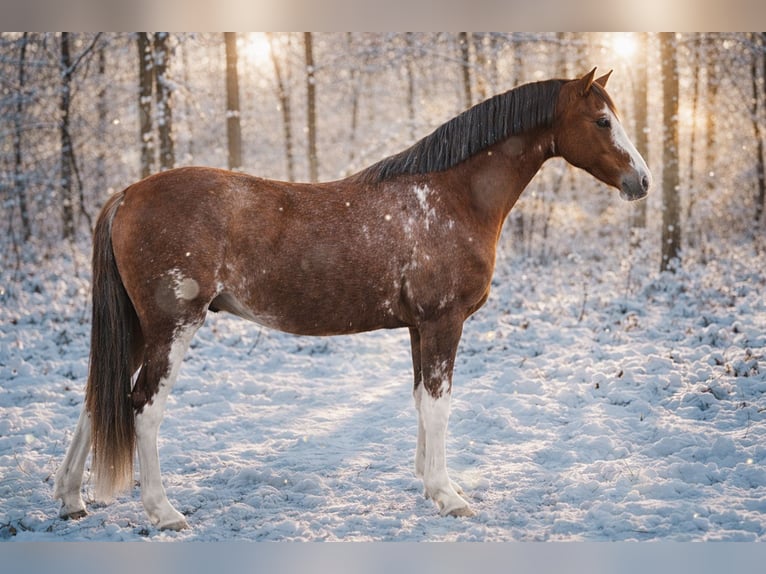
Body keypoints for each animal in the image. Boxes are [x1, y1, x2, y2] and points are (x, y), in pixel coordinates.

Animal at [54, 68, 651, 530]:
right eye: (602, 121)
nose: (642, 182)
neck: (452, 196)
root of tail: (128, 194)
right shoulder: (444, 323)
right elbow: (440, 406)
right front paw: (448, 496)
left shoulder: (418, 327)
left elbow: (421, 401)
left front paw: (430, 482)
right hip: (171, 327)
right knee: (143, 408)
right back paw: (163, 511)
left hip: (137, 329)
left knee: (97, 398)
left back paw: (70, 499)